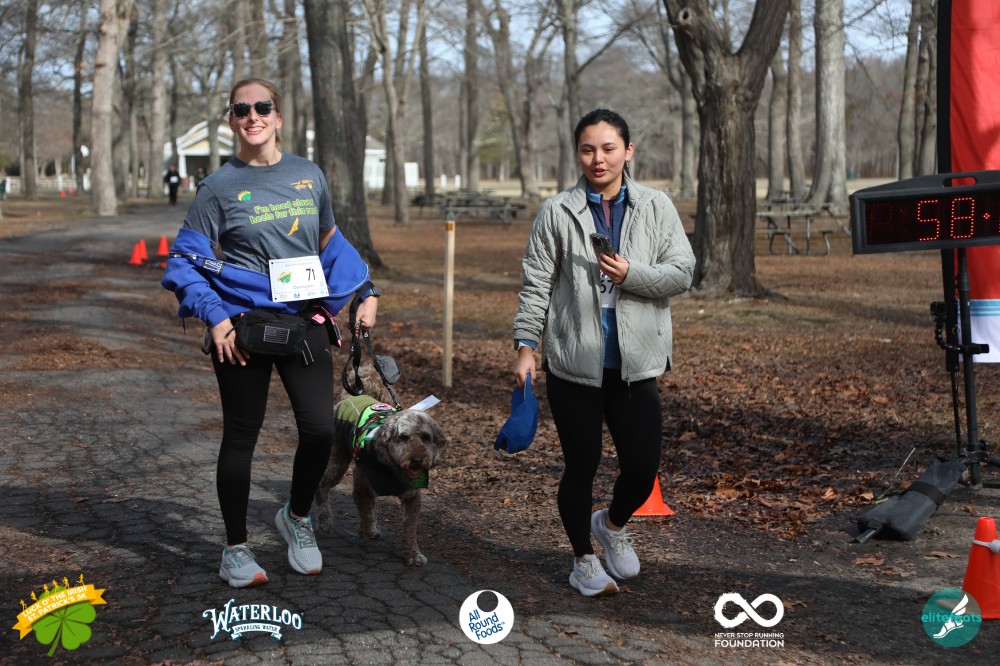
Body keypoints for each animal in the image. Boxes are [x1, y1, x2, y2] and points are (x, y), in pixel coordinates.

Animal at [314, 367, 447, 566]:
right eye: (403, 437)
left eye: (426, 437)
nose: (417, 460)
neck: (391, 468)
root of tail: (349, 397)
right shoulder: (362, 485)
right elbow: (365, 510)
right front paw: (367, 530)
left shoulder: (411, 497)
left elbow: (410, 529)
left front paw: (413, 554)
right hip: (337, 462)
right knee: (322, 487)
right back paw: (324, 522)